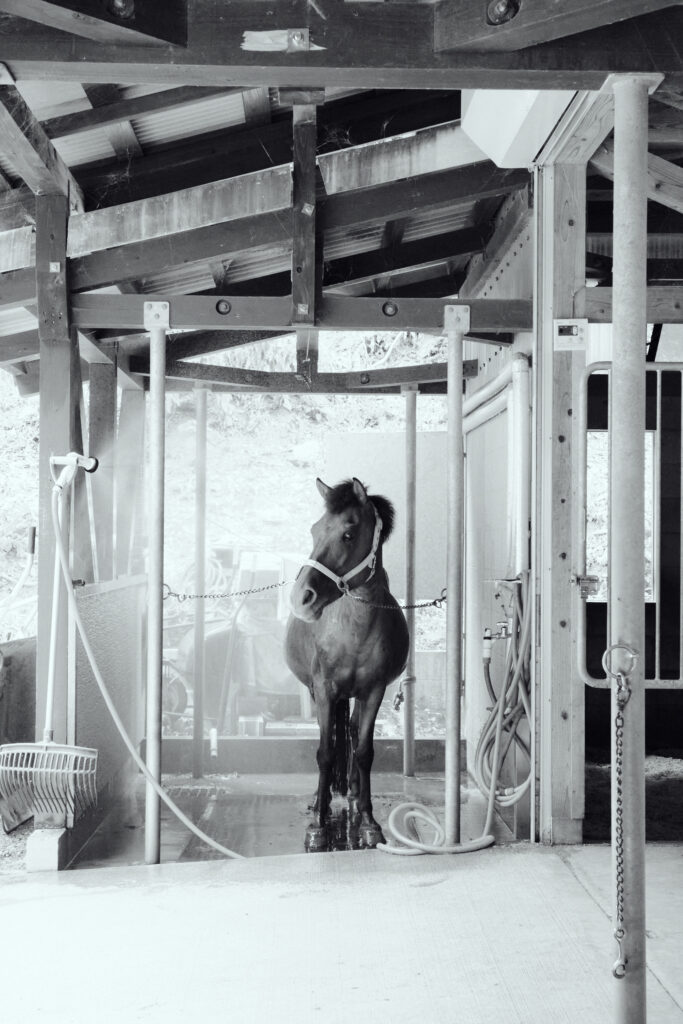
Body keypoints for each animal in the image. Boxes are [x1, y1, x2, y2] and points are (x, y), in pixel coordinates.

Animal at [285, 477, 410, 851]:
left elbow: (365, 750)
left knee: (353, 733)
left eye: (348, 534)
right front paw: (318, 824)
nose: (301, 597)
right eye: (314, 530)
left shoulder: (374, 691)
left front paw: (369, 821)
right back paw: (321, 798)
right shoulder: (325, 691)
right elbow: (325, 752)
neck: (353, 629)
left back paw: (353, 795)